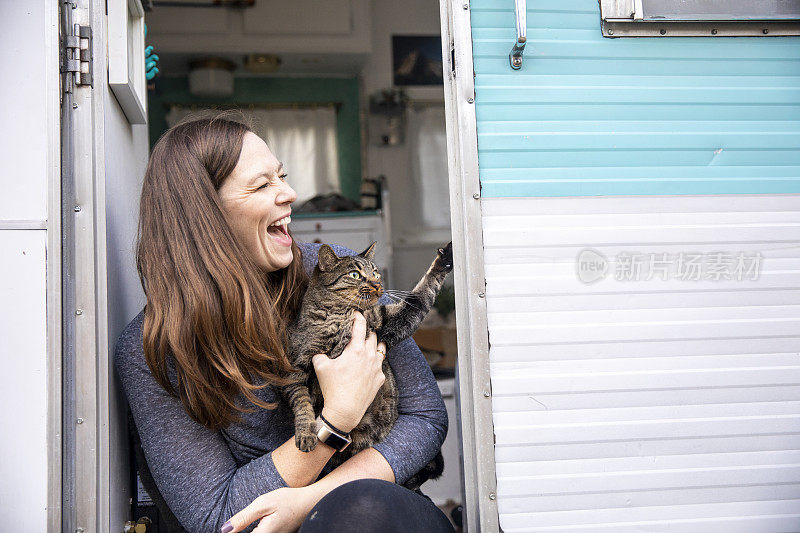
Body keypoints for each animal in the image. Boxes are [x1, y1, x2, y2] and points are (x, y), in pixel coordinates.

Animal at [282, 241, 450, 486]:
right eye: (355, 274)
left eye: (376, 273)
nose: (378, 284)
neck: (338, 315)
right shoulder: (295, 370)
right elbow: (301, 402)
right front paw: (305, 434)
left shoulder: (390, 321)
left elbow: (422, 293)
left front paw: (445, 258)